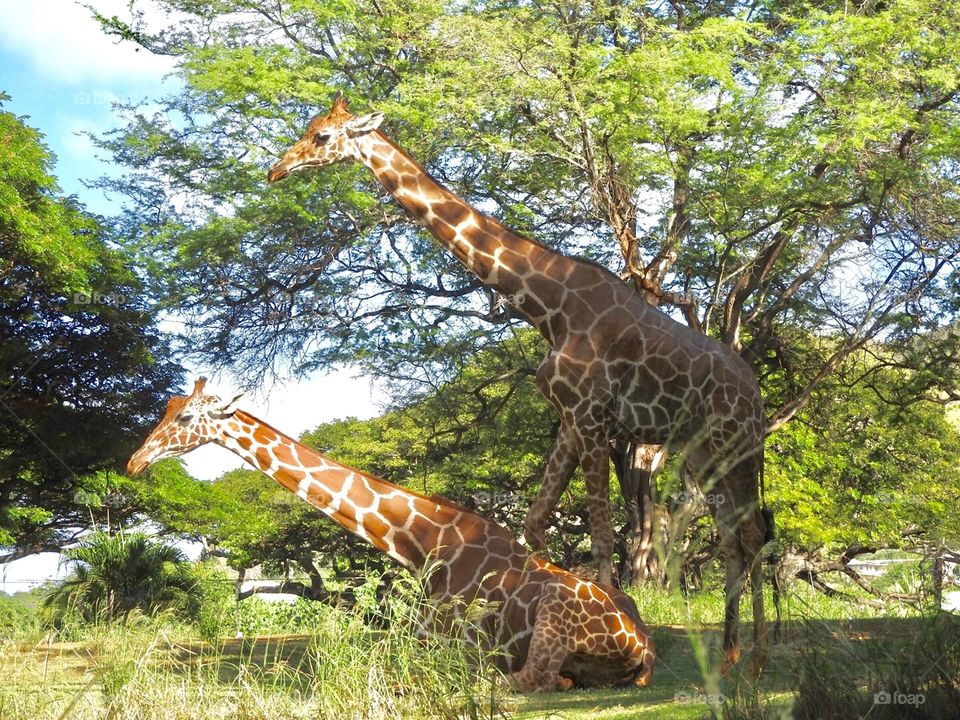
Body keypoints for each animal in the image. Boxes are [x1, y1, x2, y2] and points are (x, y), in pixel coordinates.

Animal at [127, 376, 656, 692]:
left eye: (186, 417)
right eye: (168, 407)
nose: (135, 461)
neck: (424, 543)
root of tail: (643, 645)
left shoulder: (442, 641)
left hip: (550, 620)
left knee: (530, 680)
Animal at [268, 94, 772, 668]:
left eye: (323, 137)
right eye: (310, 128)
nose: (276, 170)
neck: (548, 306)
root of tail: (755, 392)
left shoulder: (593, 417)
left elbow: (602, 535)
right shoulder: (570, 420)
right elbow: (534, 521)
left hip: (736, 444)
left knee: (752, 533)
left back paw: (758, 656)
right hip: (701, 451)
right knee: (733, 538)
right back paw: (731, 653)